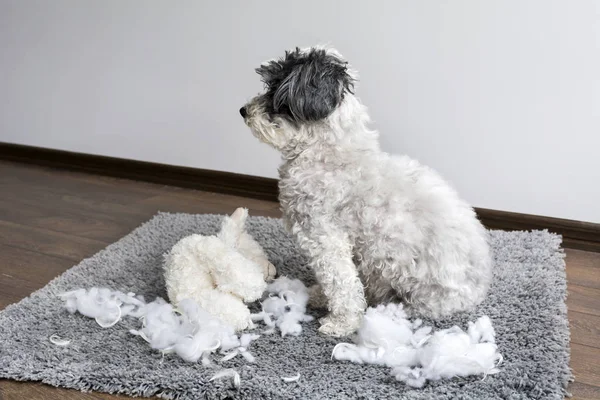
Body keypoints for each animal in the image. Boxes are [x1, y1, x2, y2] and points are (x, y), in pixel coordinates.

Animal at [239, 45, 492, 336]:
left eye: (275, 88)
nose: (243, 110)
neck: (326, 153)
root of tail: (479, 290)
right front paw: (320, 297)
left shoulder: (325, 238)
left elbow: (341, 282)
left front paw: (341, 323)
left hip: (413, 280)